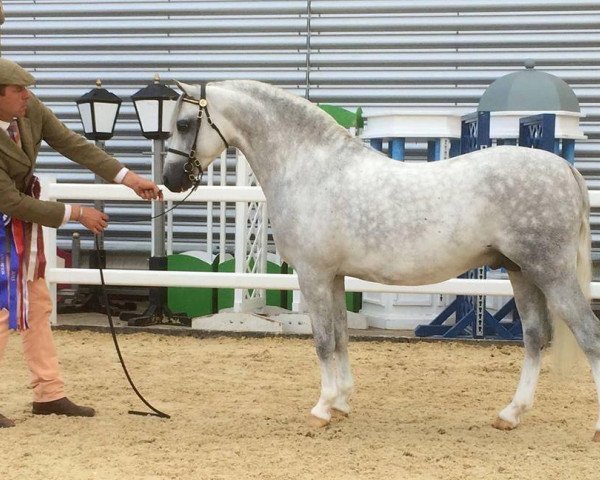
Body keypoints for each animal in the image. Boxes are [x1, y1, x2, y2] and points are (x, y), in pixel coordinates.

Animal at [162, 80, 600, 440]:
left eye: (183, 123)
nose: (170, 180)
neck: (310, 166)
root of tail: (564, 167)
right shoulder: (334, 277)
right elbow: (340, 335)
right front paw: (341, 402)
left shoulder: (313, 274)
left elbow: (322, 340)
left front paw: (321, 409)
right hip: (521, 272)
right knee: (535, 337)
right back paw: (510, 414)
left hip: (551, 274)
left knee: (588, 335)